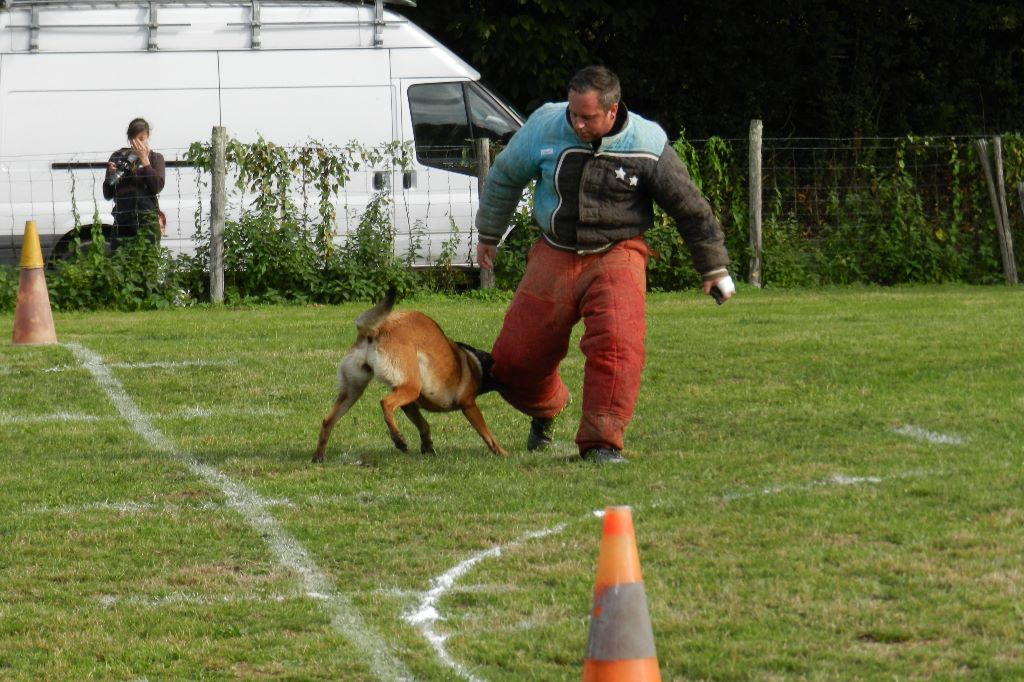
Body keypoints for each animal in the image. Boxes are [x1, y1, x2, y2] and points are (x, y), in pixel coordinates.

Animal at [311, 286, 503, 462]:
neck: (474, 363)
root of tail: (376, 330)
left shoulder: (410, 405)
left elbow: (424, 425)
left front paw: (427, 447)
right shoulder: (469, 405)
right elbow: (487, 434)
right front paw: (502, 453)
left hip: (353, 391)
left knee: (327, 420)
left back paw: (319, 457)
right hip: (411, 387)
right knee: (386, 403)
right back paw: (398, 438)